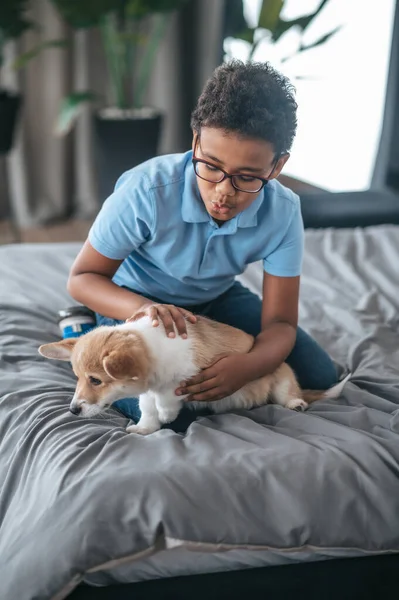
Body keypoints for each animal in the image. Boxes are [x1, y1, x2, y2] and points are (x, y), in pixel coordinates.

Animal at [38, 314, 350, 436]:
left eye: (95, 380)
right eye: (78, 378)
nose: (73, 410)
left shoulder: (188, 374)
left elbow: (167, 395)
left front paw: (166, 414)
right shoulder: (146, 392)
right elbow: (146, 407)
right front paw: (146, 428)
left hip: (282, 377)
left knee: (289, 395)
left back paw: (295, 403)